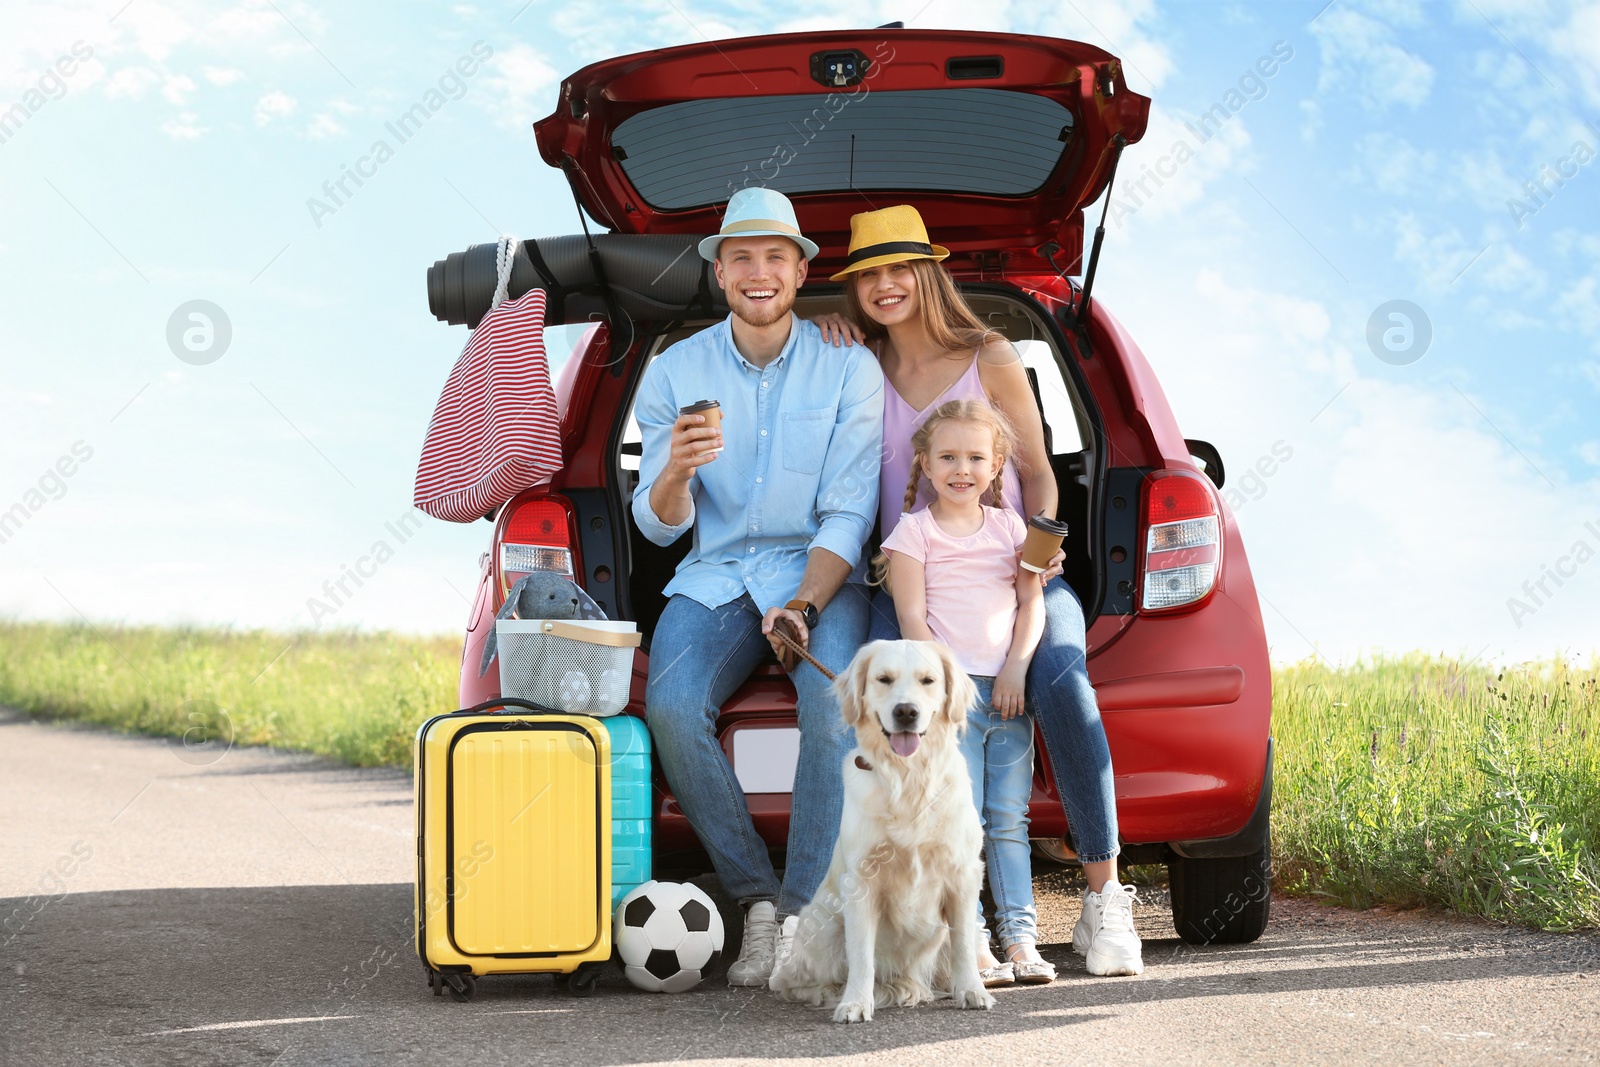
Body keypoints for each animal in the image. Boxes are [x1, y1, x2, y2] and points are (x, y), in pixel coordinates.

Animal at [768, 639, 992, 1023]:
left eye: (928, 680)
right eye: (883, 679)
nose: (906, 712)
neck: (908, 777)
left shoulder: (962, 874)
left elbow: (963, 943)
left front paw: (972, 991)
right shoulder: (860, 881)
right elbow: (861, 954)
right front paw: (855, 1003)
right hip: (823, 921)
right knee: (792, 982)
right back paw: (838, 993)